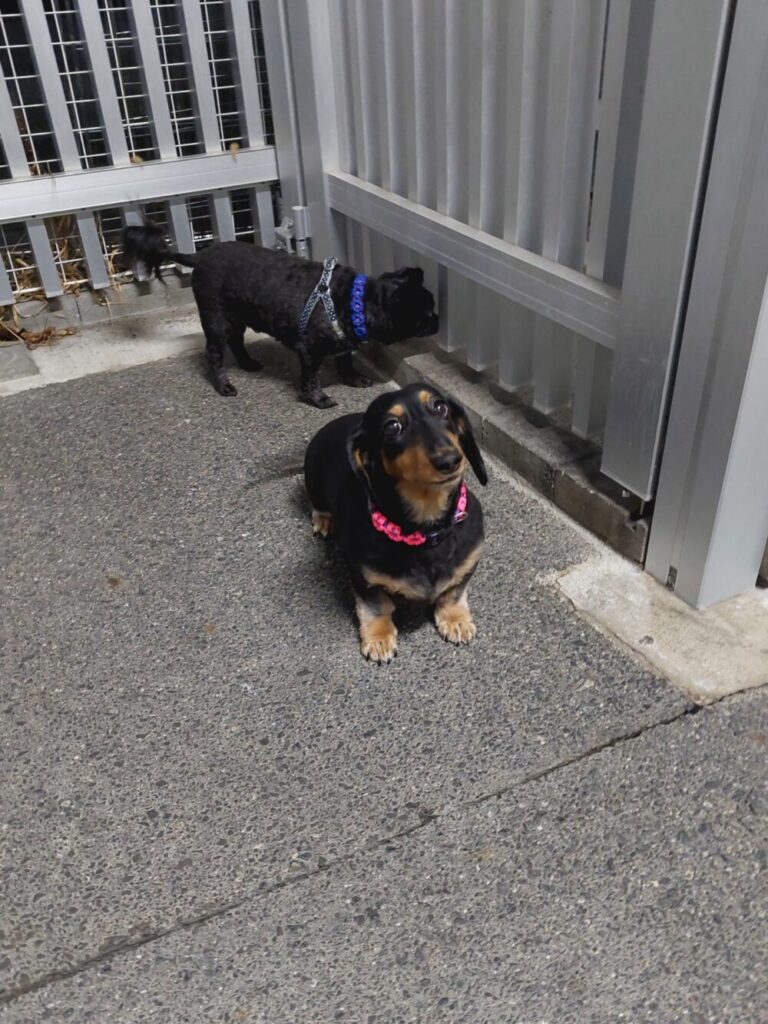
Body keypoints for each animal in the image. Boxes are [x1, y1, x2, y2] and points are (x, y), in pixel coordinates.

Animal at [122, 222, 439, 406]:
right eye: (426, 314)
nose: (438, 320)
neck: (354, 300)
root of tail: (199, 256)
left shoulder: (342, 344)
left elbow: (345, 361)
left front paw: (354, 379)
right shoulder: (308, 351)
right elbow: (311, 379)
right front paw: (319, 399)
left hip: (238, 317)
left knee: (237, 343)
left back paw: (248, 364)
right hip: (217, 319)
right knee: (214, 354)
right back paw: (224, 386)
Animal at [304, 383, 487, 662]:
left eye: (440, 407)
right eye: (392, 427)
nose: (450, 460)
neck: (426, 532)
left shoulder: (469, 561)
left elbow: (453, 592)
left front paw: (456, 620)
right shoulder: (364, 577)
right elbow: (377, 607)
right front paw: (379, 639)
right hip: (312, 477)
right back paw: (324, 520)